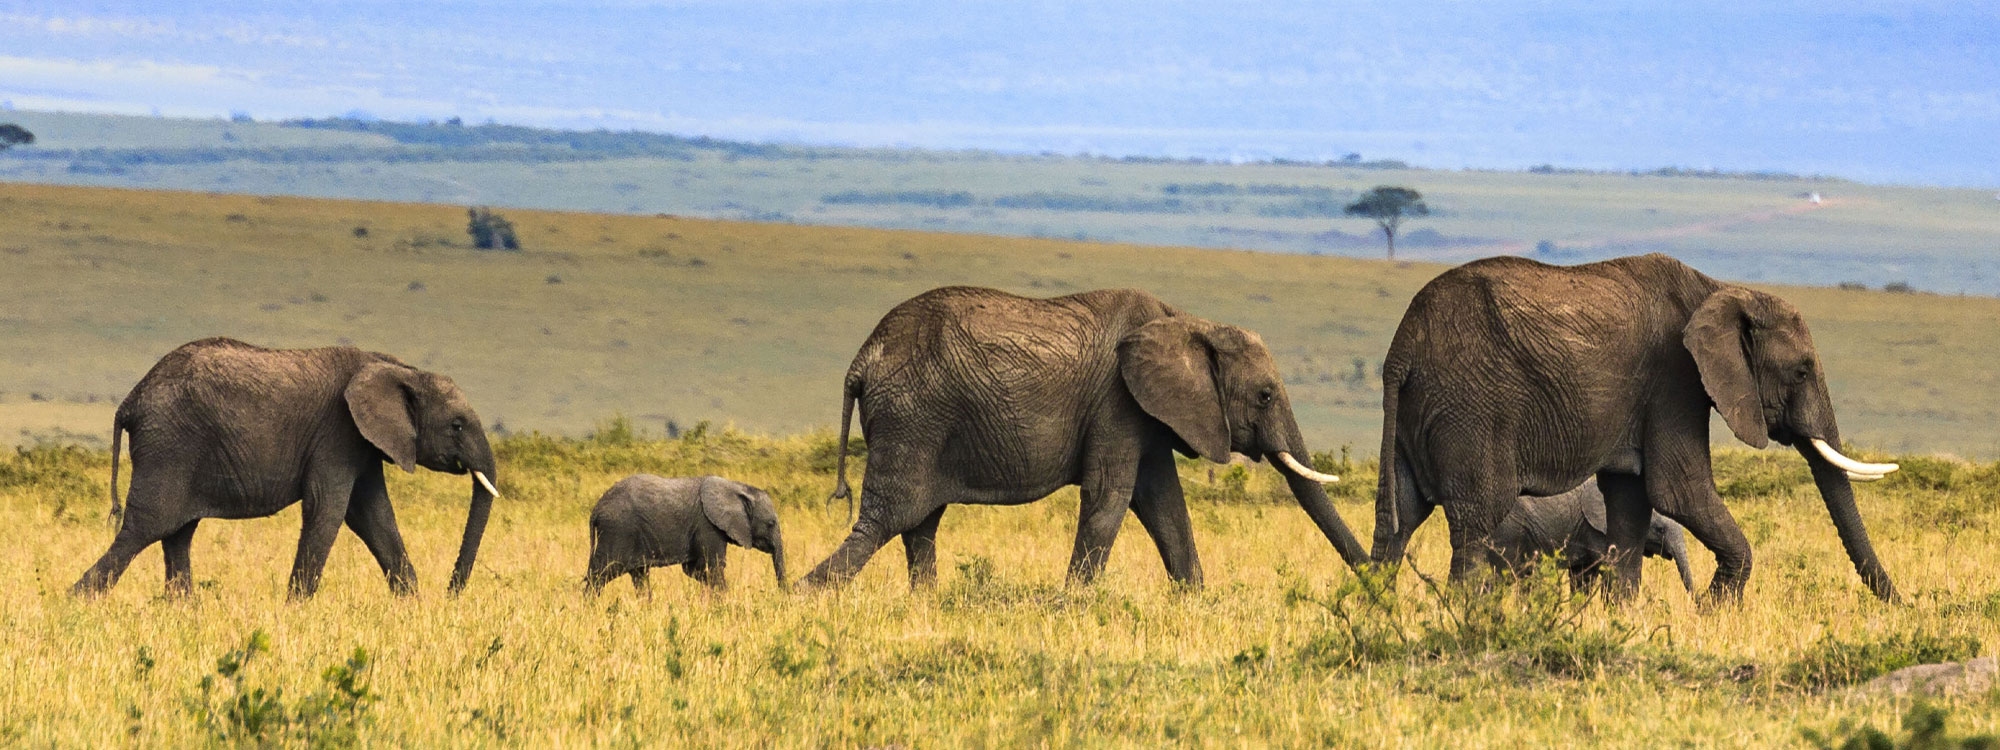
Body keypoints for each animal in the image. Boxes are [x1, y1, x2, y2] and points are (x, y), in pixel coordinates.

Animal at [70, 338, 500, 604]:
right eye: (457, 426)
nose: (451, 593)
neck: (399, 368)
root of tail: (130, 401)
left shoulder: (362, 443)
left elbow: (373, 514)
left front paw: (411, 604)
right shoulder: (337, 431)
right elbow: (329, 508)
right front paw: (296, 608)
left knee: (177, 534)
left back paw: (184, 611)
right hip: (169, 447)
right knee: (145, 528)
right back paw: (76, 602)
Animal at [584, 478, 784, 596]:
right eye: (771, 523)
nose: (783, 596)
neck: (737, 488)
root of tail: (596, 509)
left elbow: (693, 569)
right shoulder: (708, 526)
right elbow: (714, 567)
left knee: (639, 575)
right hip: (618, 531)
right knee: (601, 573)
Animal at [800, 284, 1376, 592]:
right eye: (1264, 396)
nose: (1378, 582)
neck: (1188, 321)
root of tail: (861, 360)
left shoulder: (1146, 414)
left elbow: (1164, 504)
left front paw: (1196, 601)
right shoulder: (1116, 402)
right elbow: (1110, 496)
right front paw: (1071, 604)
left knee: (918, 524)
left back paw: (928, 603)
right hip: (913, 418)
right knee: (887, 518)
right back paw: (803, 595)